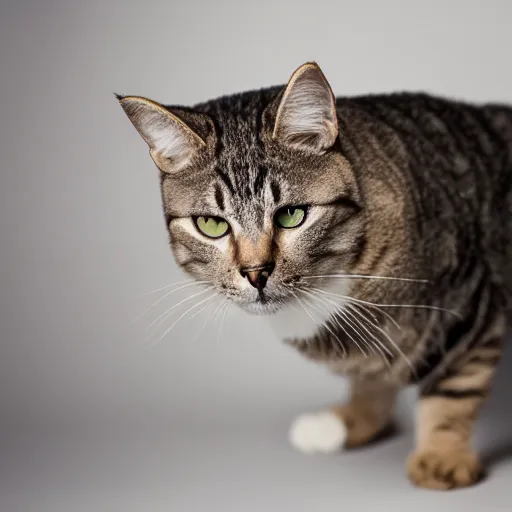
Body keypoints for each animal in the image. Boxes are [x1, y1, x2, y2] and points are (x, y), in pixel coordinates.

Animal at [117, 62, 512, 490]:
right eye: (211, 225)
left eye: (292, 215)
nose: (256, 273)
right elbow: (369, 371)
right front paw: (354, 418)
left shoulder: (470, 301)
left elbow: (453, 386)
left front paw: (441, 456)